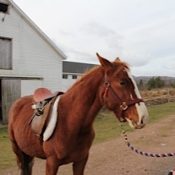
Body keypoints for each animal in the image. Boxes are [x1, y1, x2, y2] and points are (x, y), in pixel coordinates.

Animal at [7, 53, 148, 175]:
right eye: (122, 82)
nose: (143, 117)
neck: (70, 122)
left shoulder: (81, 160)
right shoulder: (51, 163)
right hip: (18, 151)